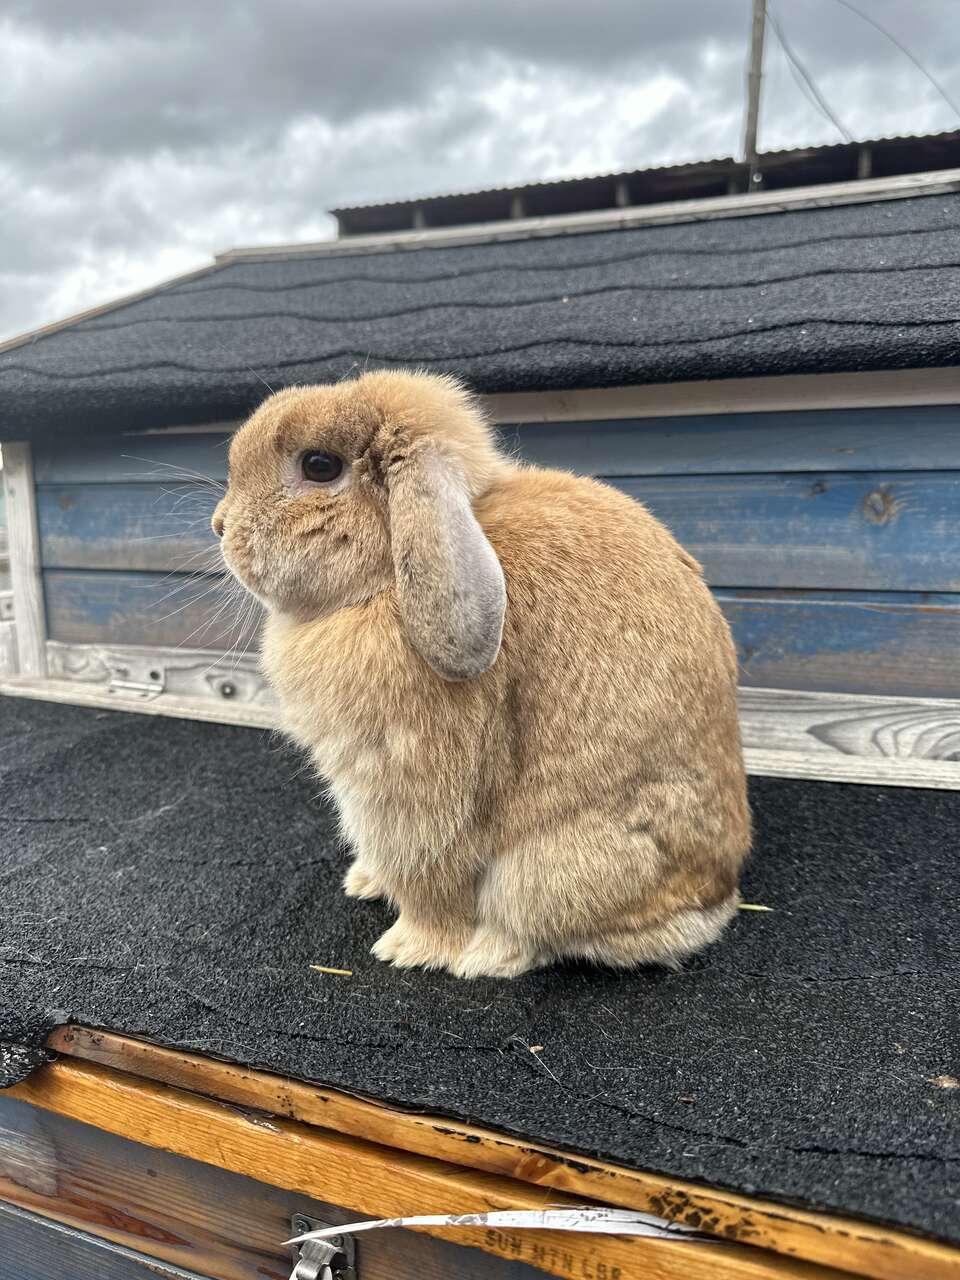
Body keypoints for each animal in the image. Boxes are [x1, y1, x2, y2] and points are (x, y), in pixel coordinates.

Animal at [213, 371, 757, 977]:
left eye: (319, 465)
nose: (219, 527)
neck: (387, 581)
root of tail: (715, 900)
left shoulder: (410, 790)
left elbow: (430, 882)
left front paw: (407, 947)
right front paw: (365, 884)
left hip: (542, 873)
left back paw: (486, 955)